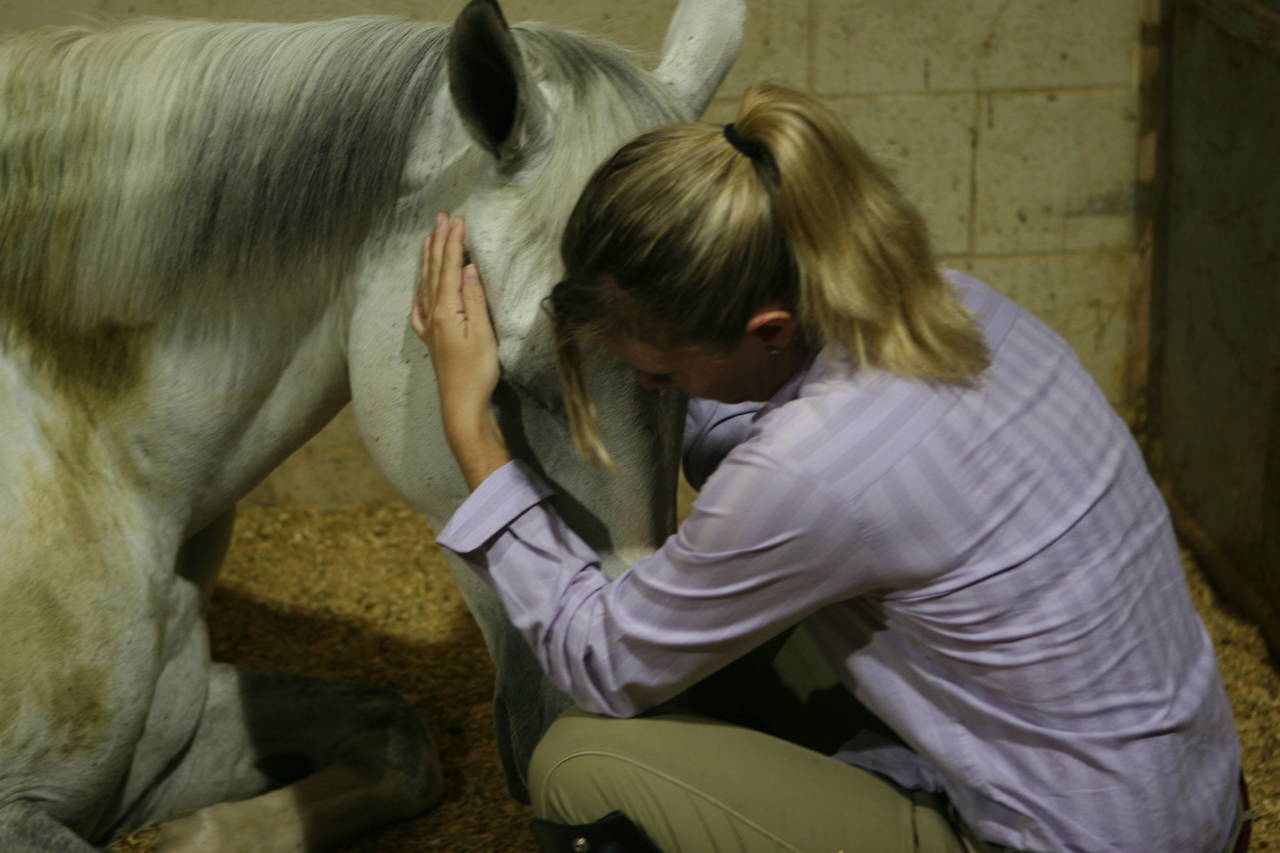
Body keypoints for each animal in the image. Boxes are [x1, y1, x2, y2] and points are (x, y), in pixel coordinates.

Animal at [0, 1, 747, 845]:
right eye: (511, 380)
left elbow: (397, 732)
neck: (100, 465)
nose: (636, 716)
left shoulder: (168, 745)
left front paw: (204, 832)